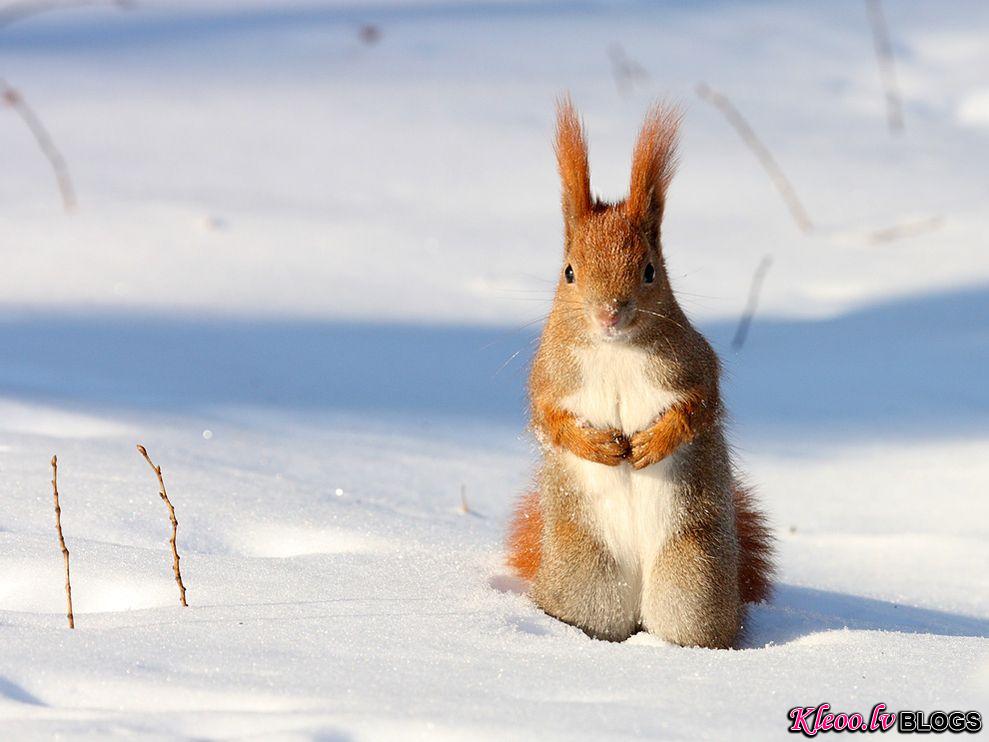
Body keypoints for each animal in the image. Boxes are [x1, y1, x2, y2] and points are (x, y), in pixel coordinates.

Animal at [510, 100, 772, 652]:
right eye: (569, 271)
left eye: (650, 270)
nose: (610, 312)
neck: (614, 350)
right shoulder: (549, 378)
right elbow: (548, 419)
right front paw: (600, 447)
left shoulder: (695, 365)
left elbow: (699, 406)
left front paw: (653, 444)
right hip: (586, 576)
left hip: (693, 576)